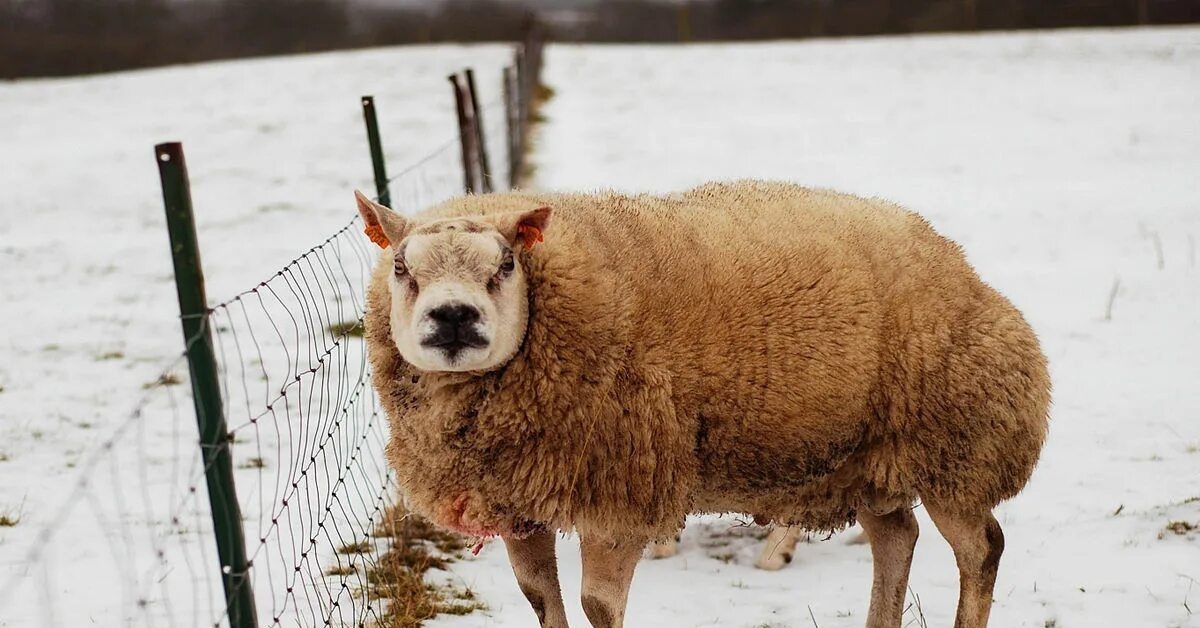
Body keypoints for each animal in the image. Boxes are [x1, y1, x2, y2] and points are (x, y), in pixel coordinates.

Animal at [355, 180, 1051, 628]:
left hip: (954, 444)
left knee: (981, 549)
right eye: (402, 269)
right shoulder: (519, 503)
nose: (452, 316)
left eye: (504, 265)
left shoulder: (622, 490)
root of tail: (954, 258)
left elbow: (598, 607)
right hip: (867, 457)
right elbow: (539, 601)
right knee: (897, 536)